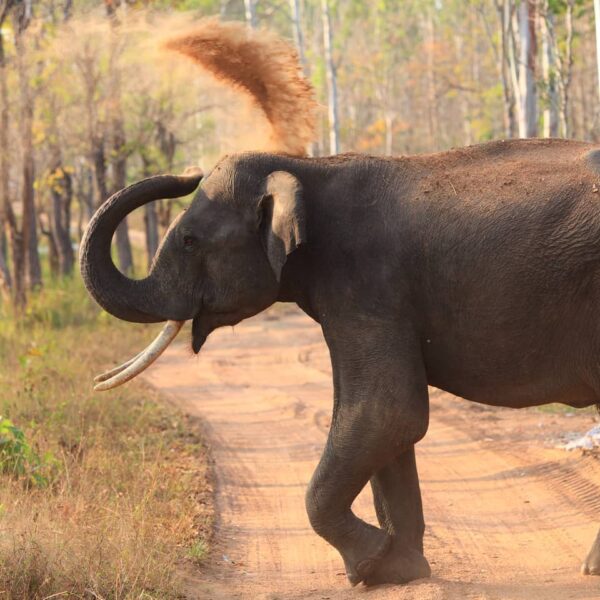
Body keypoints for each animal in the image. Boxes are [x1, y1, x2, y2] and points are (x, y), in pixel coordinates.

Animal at [81, 138, 600, 584]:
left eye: (189, 240)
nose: (186, 173)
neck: (309, 168)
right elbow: (384, 422)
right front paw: (399, 570)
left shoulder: (367, 283)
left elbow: (386, 411)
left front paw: (369, 565)